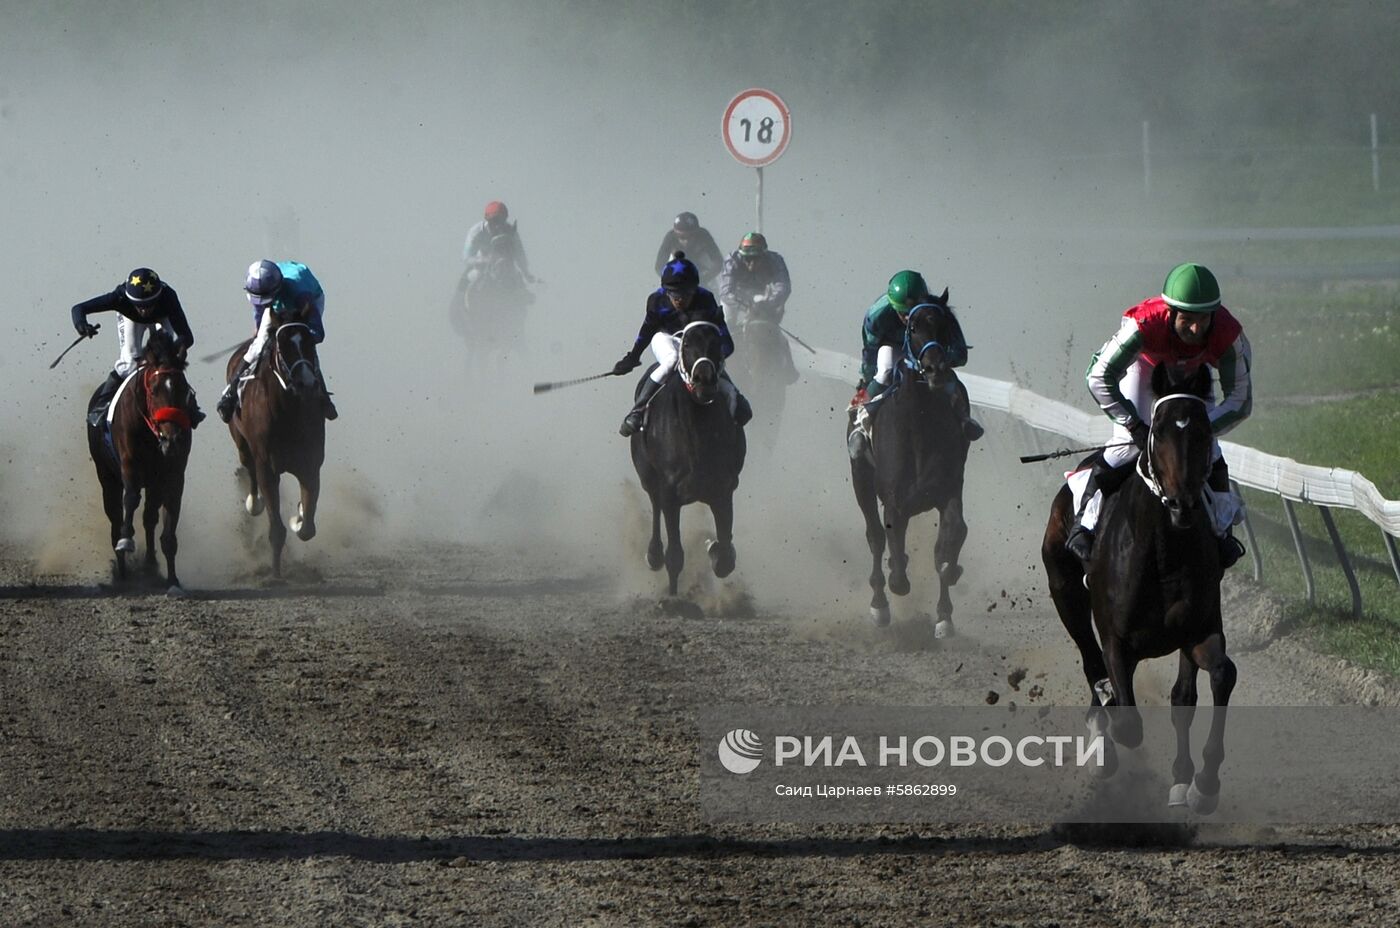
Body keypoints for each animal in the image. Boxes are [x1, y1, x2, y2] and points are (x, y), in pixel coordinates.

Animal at [87, 337, 196, 590]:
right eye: (154, 391)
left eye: (184, 389)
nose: (172, 439)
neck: (151, 433)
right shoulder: (130, 466)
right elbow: (131, 499)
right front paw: (126, 540)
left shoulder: (173, 475)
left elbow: (168, 522)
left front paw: (172, 580)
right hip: (106, 477)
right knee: (115, 517)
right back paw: (123, 573)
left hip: (154, 483)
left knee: (149, 518)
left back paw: (149, 565)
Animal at [228, 323, 329, 576]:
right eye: (283, 347)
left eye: (310, 344)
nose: (307, 383)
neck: (289, 414)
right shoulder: (268, 468)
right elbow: (276, 529)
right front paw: (275, 574)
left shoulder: (310, 466)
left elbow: (308, 528)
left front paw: (299, 516)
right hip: (242, 445)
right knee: (249, 467)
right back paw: (254, 503)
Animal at [632, 321, 750, 596]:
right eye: (686, 344)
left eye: (716, 342)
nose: (704, 379)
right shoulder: (669, 493)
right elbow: (675, 554)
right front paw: (673, 598)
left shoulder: (722, 489)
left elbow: (725, 556)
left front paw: (713, 547)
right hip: (648, 477)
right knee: (654, 507)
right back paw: (653, 555)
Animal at [845, 298, 968, 638]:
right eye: (913, 328)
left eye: (945, 325)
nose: (936, 369)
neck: (918, 426)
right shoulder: (895, 502)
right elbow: (897, 568)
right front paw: (892, 583)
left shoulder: (948, 491)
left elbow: (950, 542)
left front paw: (944, 616)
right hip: (861, 480)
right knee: (875, 537)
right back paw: (879, 605)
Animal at [1041, 363, 1237, 811]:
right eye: (1159, 431)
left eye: (1204, 431)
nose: (1183, 503)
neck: (1162, 552)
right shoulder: (1117, 640)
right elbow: (1127, 721)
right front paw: (1104, 752)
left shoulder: (1198, 629)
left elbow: (1218, 677)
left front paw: (1203, 785)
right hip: (1064, 591)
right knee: (1092, 664)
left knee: (1182, 693)